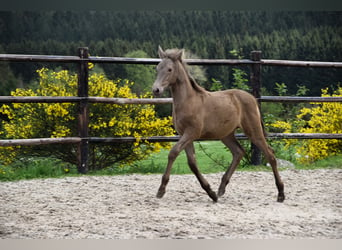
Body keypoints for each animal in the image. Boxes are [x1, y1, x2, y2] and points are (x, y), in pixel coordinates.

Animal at [152, 47, 284, 203]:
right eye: (157, 68)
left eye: (170, 69)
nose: (156, 89)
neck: (188, 101)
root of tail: (252, 98)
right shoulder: (185, 134)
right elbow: (192, 163)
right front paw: (211, 192)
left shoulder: (192, 133)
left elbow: (173, 153)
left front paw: (161, 190)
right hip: (226, 134)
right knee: (238, 152)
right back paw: (221, 189)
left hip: (253, 131)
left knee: (270, 154)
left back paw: (281, 193)